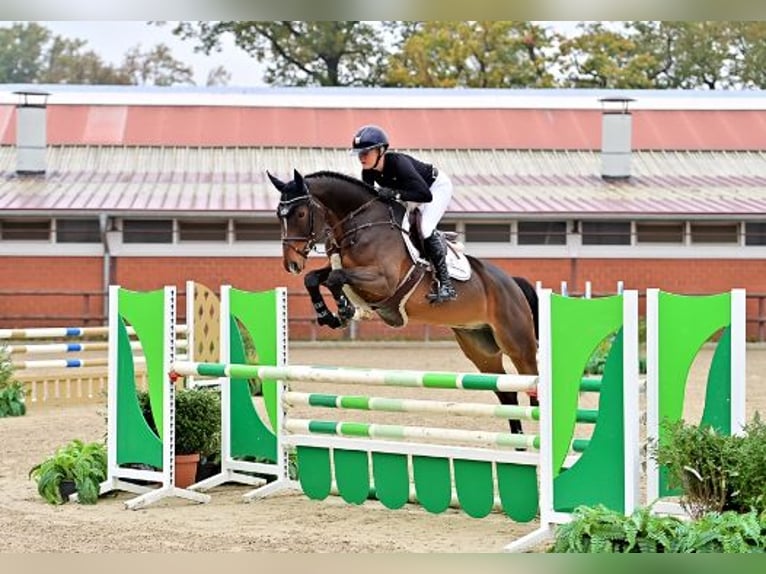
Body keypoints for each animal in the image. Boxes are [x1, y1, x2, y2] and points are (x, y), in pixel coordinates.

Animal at [270, 169, 540, 434]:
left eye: (301, 213)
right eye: (278, 215)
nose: (291, 264)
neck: (362, 224)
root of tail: (512, 283)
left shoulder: (383, 281)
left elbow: (335, 278)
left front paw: (345, 310)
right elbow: (314, 279)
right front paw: (329, 315)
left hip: (518, 344)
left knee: (533, 385)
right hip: (479, 347)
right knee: (507, 394)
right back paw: (517, 442)